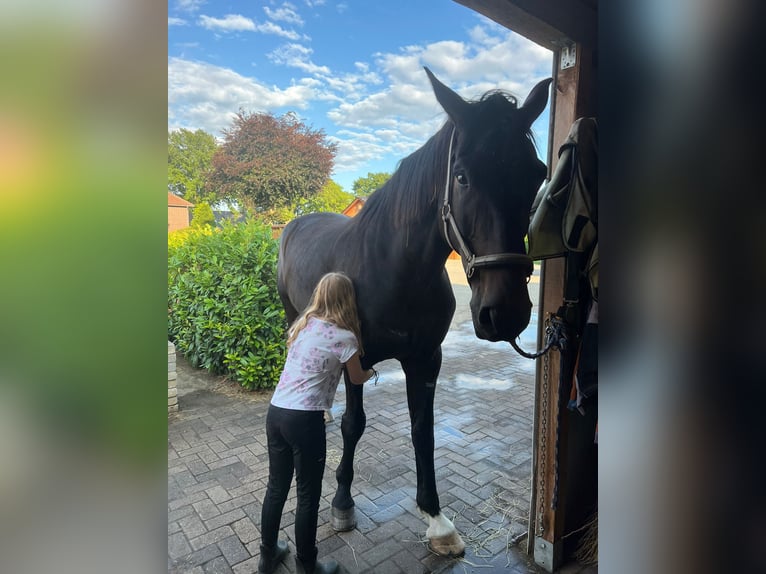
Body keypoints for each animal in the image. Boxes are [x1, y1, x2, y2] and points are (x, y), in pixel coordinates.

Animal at [276, 68, 552, 560]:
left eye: (537, 174)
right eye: (461, 176)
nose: (504, 313)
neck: (392, 266)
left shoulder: (426, 359)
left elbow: (424, 430)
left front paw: (437, 520)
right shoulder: (355, 357)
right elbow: (353, 425)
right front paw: (342, 504)